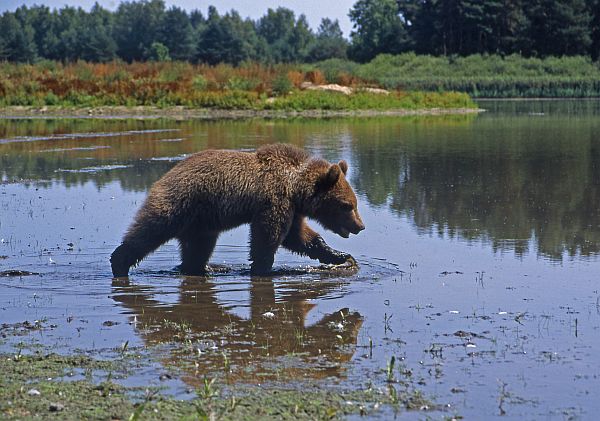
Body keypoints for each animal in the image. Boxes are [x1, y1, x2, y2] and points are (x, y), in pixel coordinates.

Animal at [111, 143, 366, 278]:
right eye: (347, 206)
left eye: (355, 204)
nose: (360, 226)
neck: (295, 186)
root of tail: (165, 174)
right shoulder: (274, 200)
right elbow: (268, 236)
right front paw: (263, 268)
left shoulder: (292, 208)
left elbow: (299, 237)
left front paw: (339, 255)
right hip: (181, 203)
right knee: (151, 230)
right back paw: (119, 262)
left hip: (201, 221)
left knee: (198, 246)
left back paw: (204, 267)